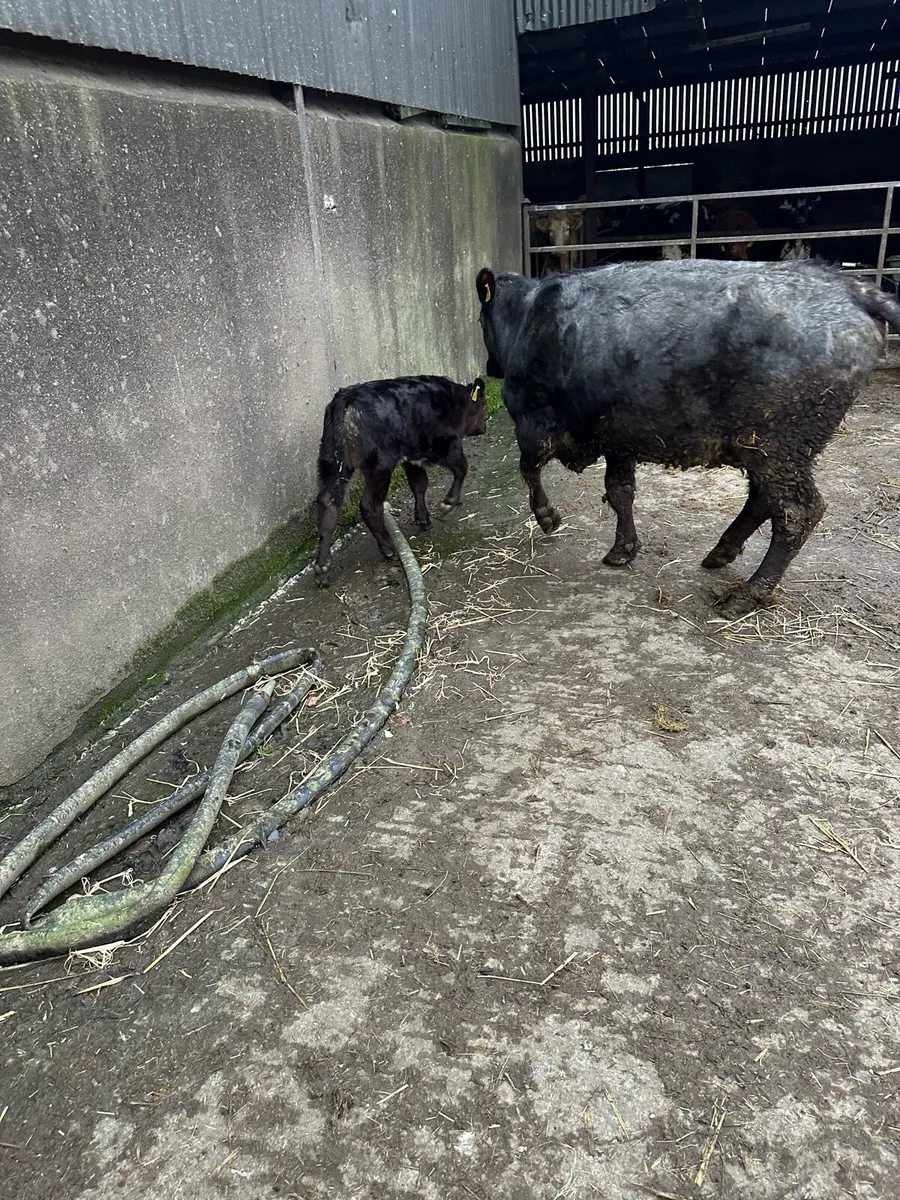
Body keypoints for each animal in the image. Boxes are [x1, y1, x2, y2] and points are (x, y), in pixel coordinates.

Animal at [314, 375, 486, 587]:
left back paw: (322, 566)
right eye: (484, 405)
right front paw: (449, 502)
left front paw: (423, 519)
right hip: (380, 464)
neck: (455, 399)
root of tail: (345, 400)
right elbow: (461, 467)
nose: (483, 428)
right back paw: (389, 549)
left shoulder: (412, 457)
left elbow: (419, 484)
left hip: (333, 461)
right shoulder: (445, 443)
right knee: (369, 505)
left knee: (328, 503)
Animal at [475, 259, 900, 615]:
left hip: (775, 446)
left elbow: (529, 469)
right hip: (771, 450)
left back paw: (748, 593)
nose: (490, 367)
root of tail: (849, 288)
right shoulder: (619, 437)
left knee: (797, 514)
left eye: (481, 318)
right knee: (763, 501)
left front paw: (548, 518)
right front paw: (623, 549)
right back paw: (721, 552)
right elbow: (619, 491)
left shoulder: (532, 422)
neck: (529, 313)